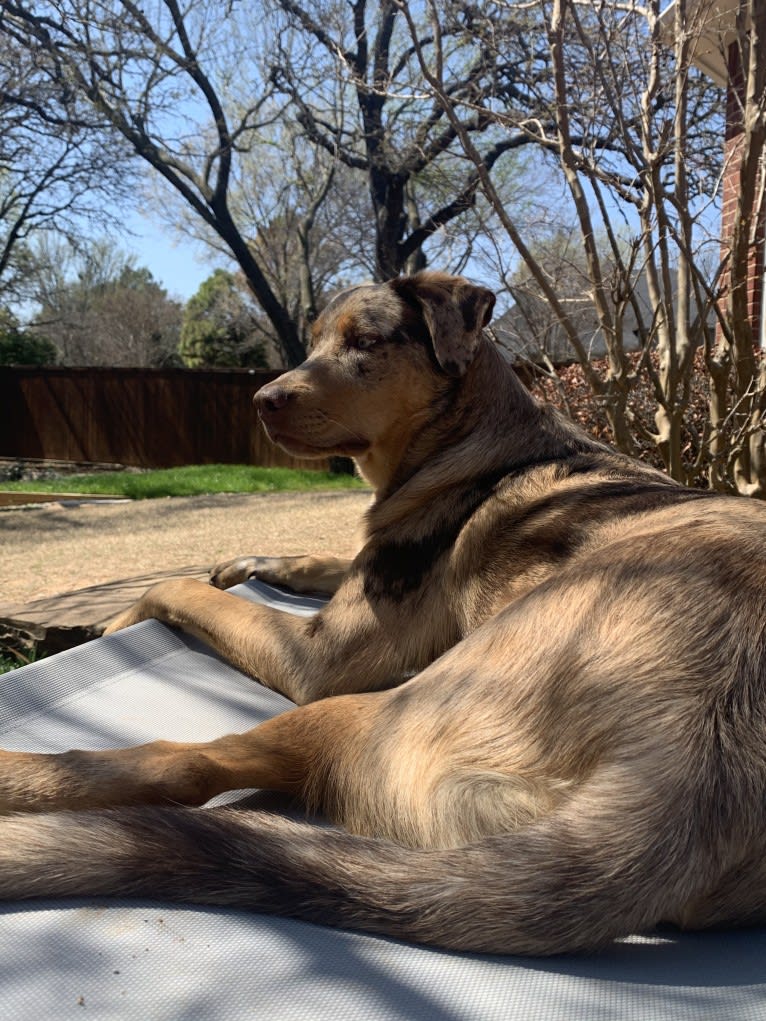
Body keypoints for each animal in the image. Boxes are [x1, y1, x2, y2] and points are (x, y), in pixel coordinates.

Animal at [1, 271, 766, 955]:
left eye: (364, 341)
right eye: (310, 342)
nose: (262, 400)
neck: (467, 436)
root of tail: (692, 775)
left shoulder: (316, 656)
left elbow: (182, 587)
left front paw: (124, 613)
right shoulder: (360, 576)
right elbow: (314, 558)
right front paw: (250, 563)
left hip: (358, 708)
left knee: (184, 766)